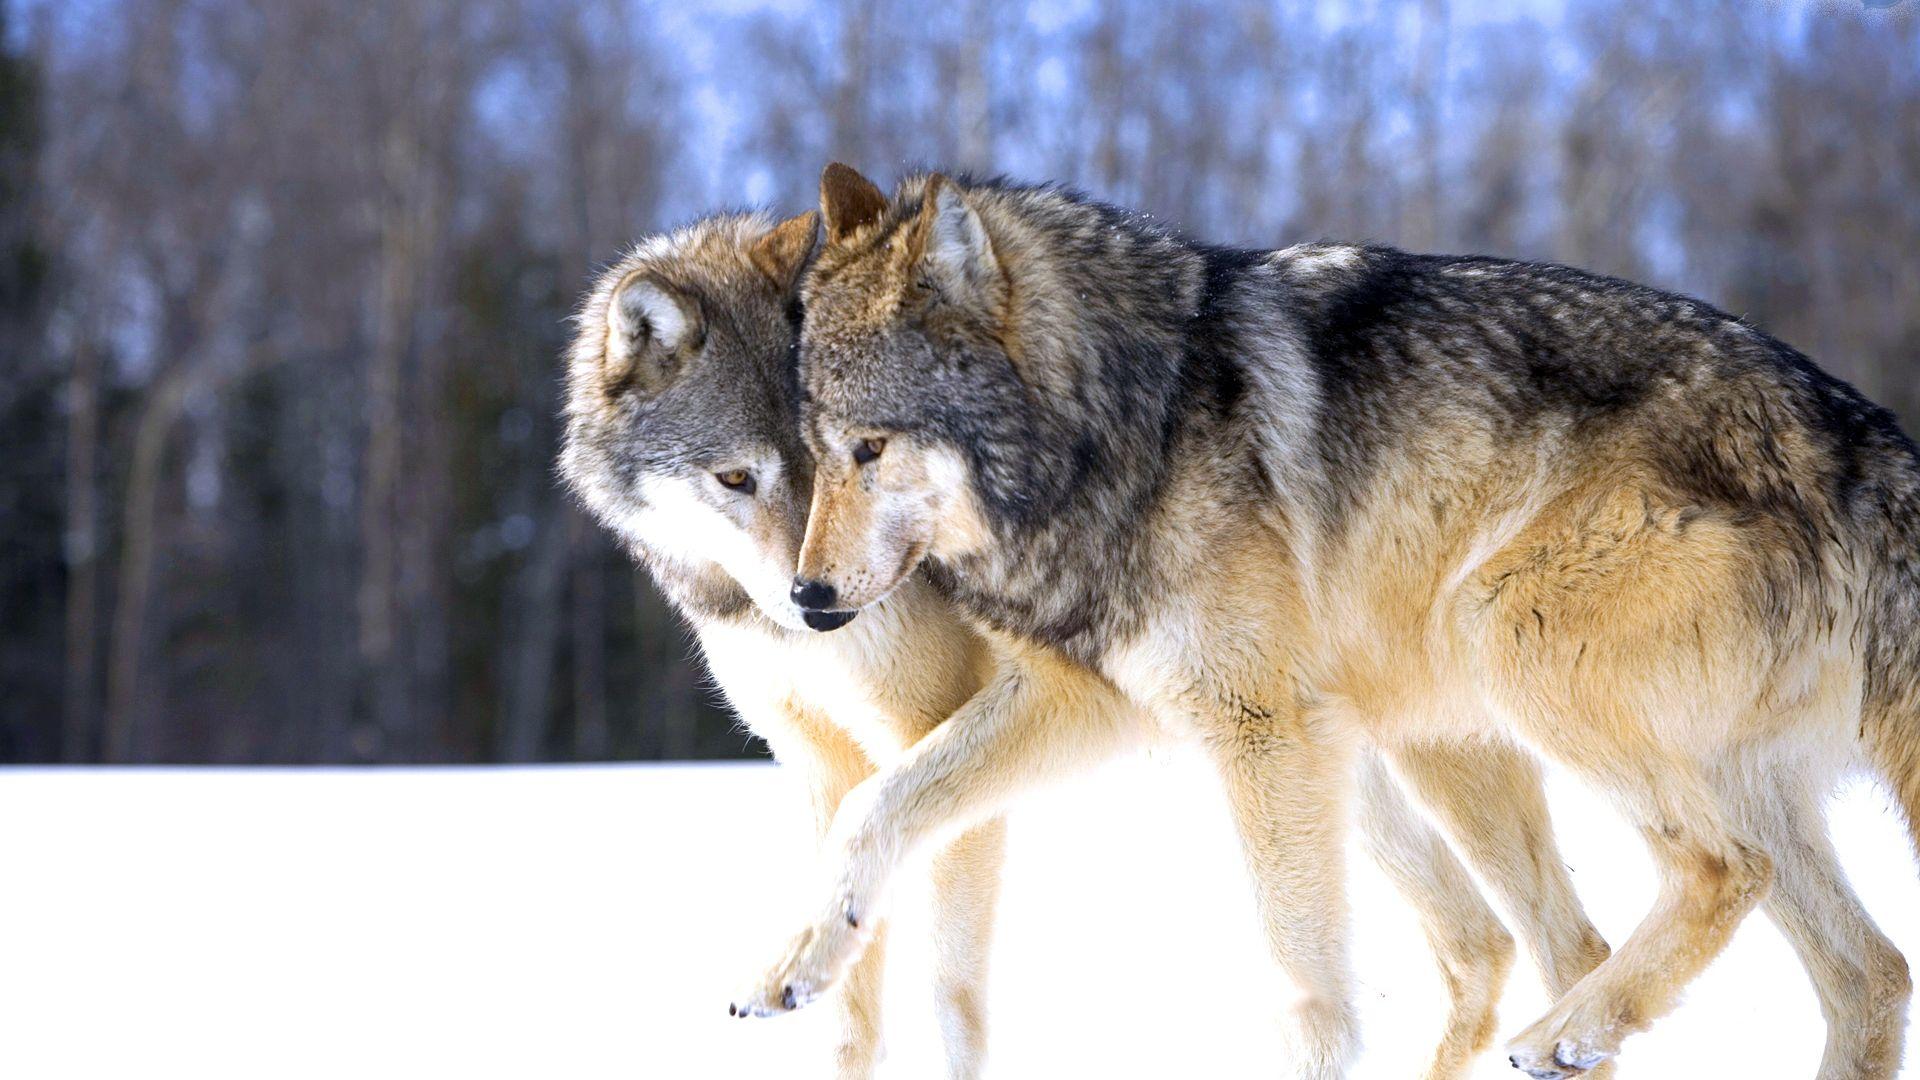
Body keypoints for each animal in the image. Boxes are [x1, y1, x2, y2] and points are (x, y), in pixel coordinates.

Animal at [560, 211, 1613, 1079]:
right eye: (738, 478)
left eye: (852, 460)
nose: (816, 607)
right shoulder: (822, 763)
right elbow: (851, 1009)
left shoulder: (966, 736)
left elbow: (946, 993)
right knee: (1484, 944)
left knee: (1546, 946)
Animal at [736, 163, 1920, 1080]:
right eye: (814, 449)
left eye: (871, 448)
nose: (806, 599)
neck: (1129, 424)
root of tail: (1860, 435)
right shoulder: (1099, 701)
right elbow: (877, 803)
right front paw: (798, 960)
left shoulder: (1263, 730)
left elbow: (1307, 991)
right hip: (1466, 740)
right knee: (1859, 972)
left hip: (1500, 635)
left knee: (1720, 875)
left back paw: (1567, 1031)